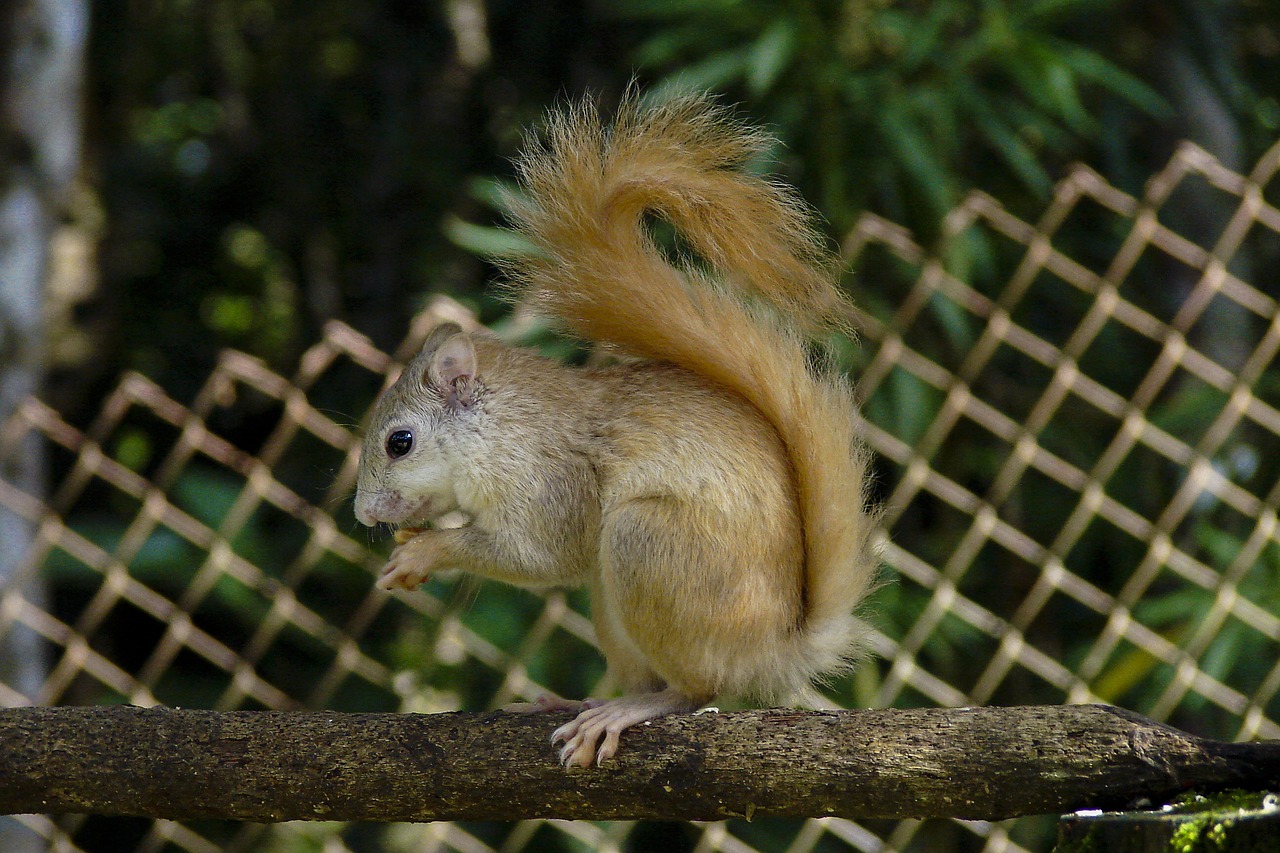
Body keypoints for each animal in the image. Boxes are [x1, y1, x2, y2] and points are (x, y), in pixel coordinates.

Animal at [358, 89, 880, 768]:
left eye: (400, 442)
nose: (365, 515)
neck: (504, 429)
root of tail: (773, 651)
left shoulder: (550, 480)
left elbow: (538, 555)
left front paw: (423, 551)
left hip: (648, 544)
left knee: (694, 689)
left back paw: (626, 711)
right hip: (612, 601)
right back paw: (577, 704)